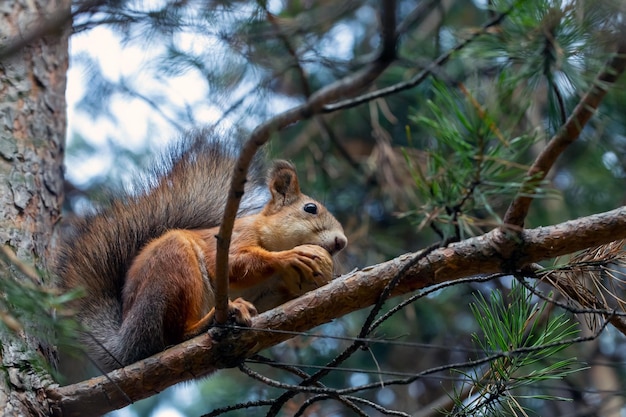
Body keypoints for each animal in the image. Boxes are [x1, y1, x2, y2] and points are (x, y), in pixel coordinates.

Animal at [54, 132, 346, 372]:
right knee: (173, 336)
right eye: (310, 208)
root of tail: (127, 343)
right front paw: (290, 256)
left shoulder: (271, 293)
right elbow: (233, 264)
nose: (342, 242)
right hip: (172, 269)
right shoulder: (235, 238)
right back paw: (209, 322)